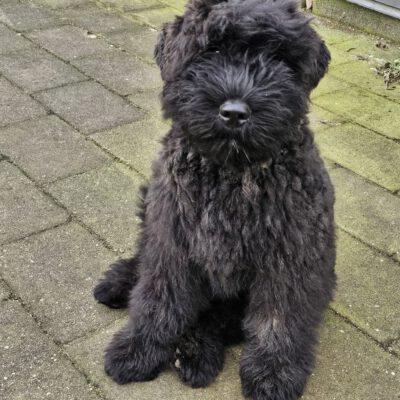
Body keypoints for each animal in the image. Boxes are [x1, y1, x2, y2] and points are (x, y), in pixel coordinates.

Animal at [94, 0, 336, 399]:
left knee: (218, 319)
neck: (232, 174)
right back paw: (118, 282)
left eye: (277, 57)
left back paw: (196, 353)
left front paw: (273, 373)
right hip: (149, 201)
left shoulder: (291, 253)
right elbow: (157, 295)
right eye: (212, 50)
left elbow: (278, 317)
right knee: (144, 257)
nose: (234, 112)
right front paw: (139, 348)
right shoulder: (171, 235)